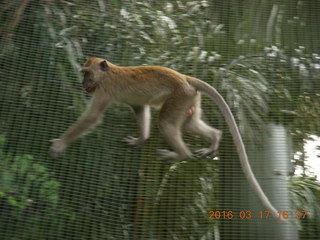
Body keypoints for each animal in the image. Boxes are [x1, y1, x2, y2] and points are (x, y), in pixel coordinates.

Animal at [49, 57, 280, 220]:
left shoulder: (105, 89)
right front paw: (140, 140)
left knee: (166, 123)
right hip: (189, 99)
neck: (110, 72)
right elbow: (140, 108)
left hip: (179, 96)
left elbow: (92, 118)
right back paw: (213, 139)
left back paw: (180, 155)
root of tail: (185, 78)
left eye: (87, 73)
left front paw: (61, 143)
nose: (83, 83)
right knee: (188, 124)